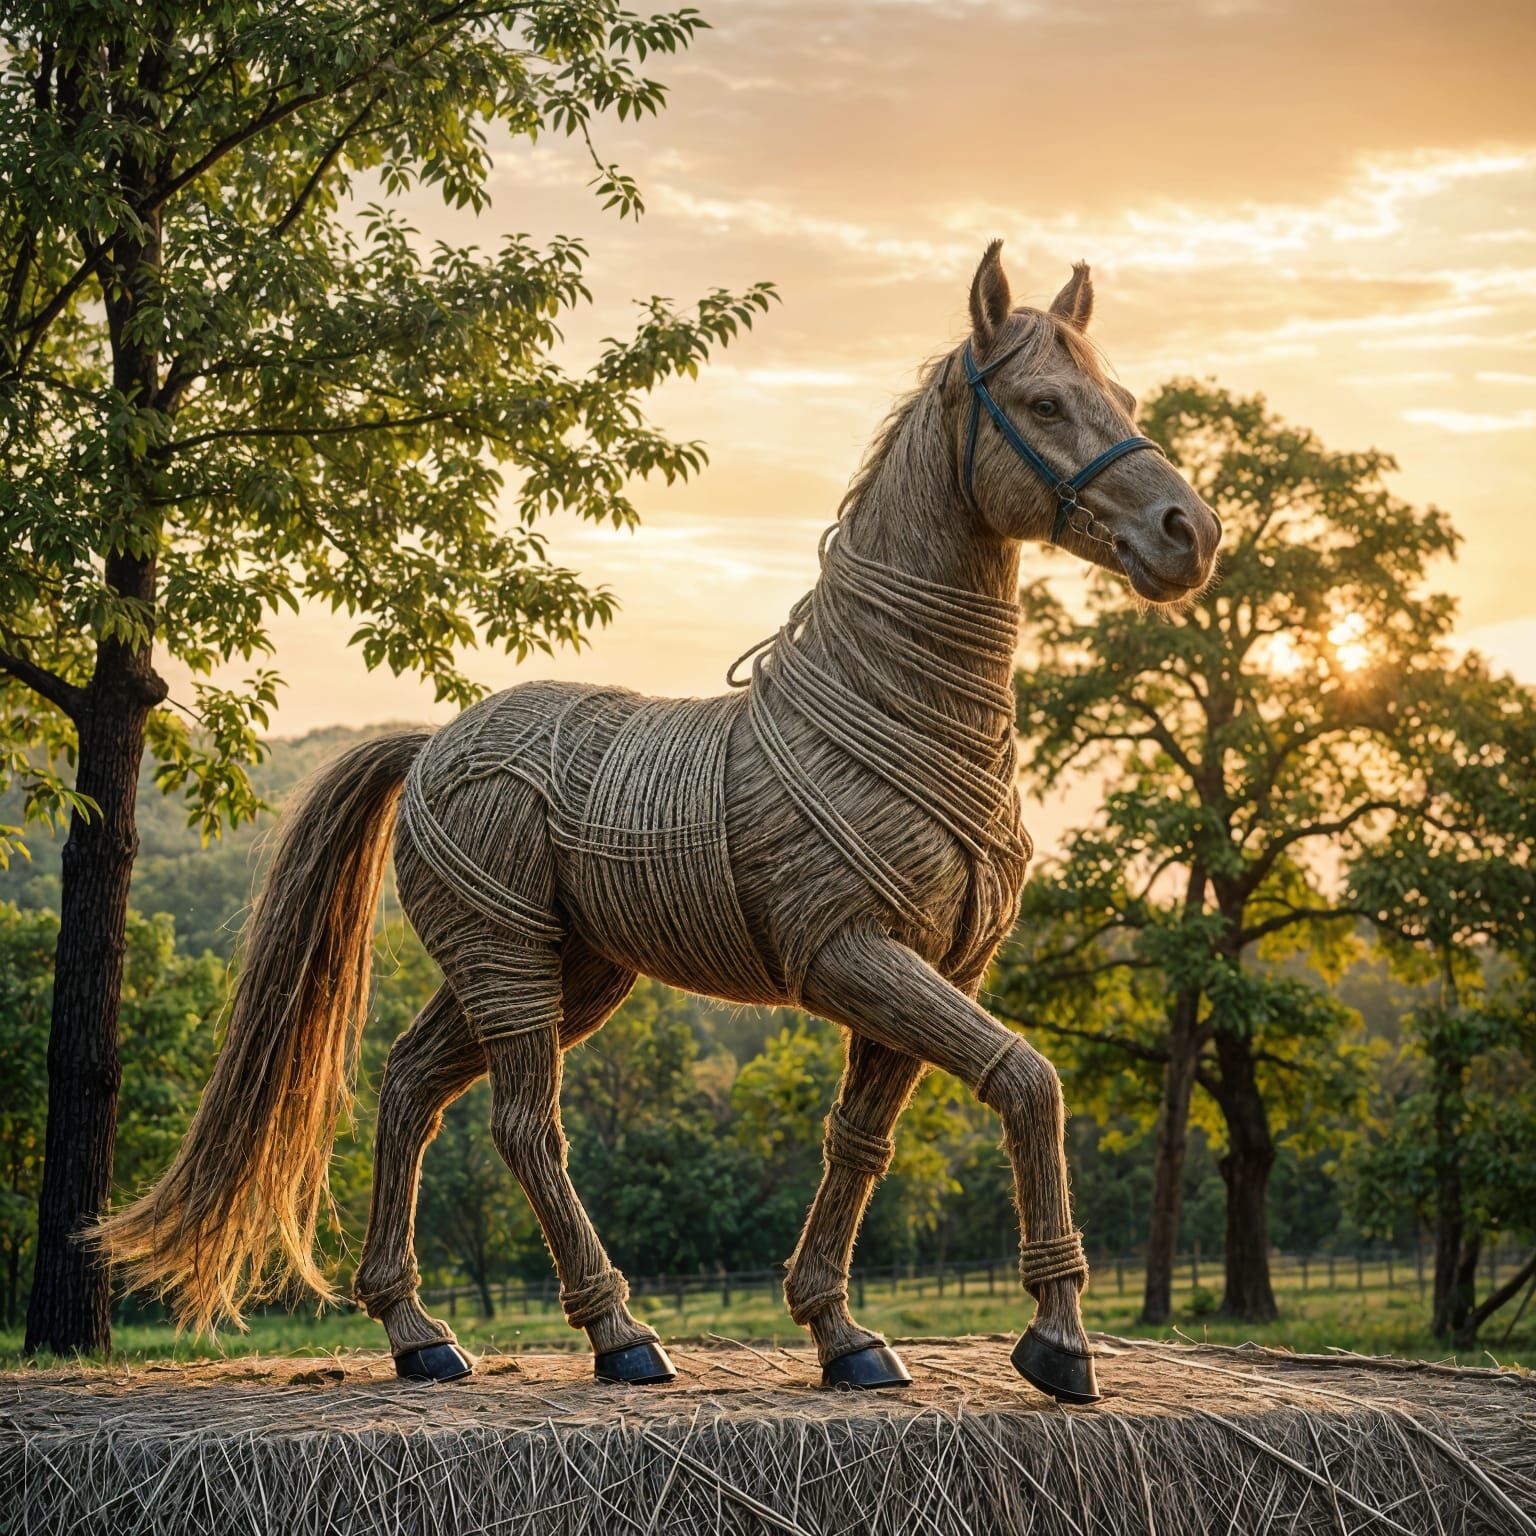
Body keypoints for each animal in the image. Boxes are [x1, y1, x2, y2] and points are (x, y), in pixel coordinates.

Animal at [93, 242, 1220, 1403]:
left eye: (1125, 399)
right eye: (1044, 403)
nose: (1189, 533)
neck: (897, 711)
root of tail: (434, 744)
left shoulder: (934, 968)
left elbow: (860, 1141)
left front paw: (843, 1334)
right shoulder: (848, 952)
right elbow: (1027, 1081)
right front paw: (1060, 1342)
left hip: (559, 973)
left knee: (410, 1088)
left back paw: (418, 1332)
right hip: (508, 964)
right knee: (523, 1128)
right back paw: (618, 1333)